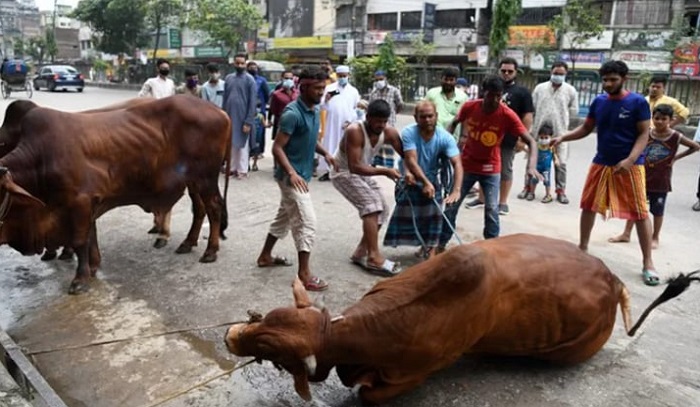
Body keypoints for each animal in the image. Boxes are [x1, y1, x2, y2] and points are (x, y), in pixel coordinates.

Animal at [0, 95, 232, 294]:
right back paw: (188, 242)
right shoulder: (90, 204)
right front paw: (93, 266)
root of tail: (221, 112)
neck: (40, 159)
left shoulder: (79, 203)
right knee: (200, 209)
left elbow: (79, 241)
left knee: (214, 208)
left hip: (206, 178)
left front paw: (80, 278)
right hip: (194, 181)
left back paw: (210, 251)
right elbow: (90, 236)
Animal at [226, 234, 700, 406]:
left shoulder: (409, 374)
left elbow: (368, 395)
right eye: (265, 318)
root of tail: (613, 280)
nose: (232, 336)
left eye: (269, 350)